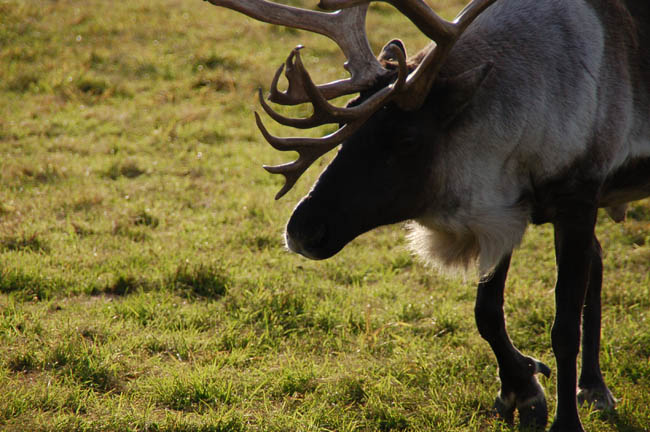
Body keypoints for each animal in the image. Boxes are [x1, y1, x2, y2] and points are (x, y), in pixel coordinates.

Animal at [203, 0, 650, 430]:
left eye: (407, 138)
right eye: (351, 121)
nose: (301, 231)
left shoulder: (575, 199)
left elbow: (563, 326)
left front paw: (563, 421)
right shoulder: (502, 207)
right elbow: (487, 314)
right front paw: (523, 390)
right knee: (597, 260)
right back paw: (593, 386)